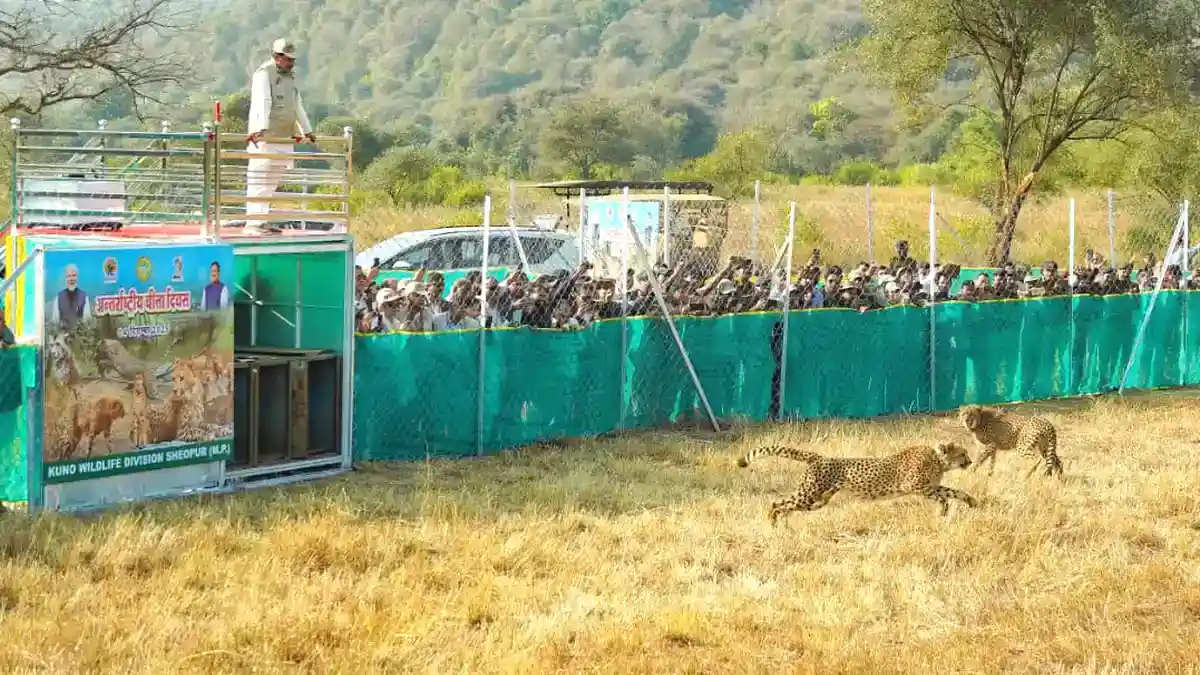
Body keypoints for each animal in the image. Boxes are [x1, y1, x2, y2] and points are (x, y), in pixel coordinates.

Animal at [736, 442, 978, 523]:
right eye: (963, 453)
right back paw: (772, 524)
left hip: (816, 501)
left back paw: (783, 526)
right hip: (808, 495)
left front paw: (972, 502)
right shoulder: (915, 487)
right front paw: (944, 511)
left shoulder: (930, 486)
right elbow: (944, 496)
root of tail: (819, 457)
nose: (970, 461)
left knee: (786, 506)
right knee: (777, 503)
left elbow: (954, 492)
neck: (938, 460)